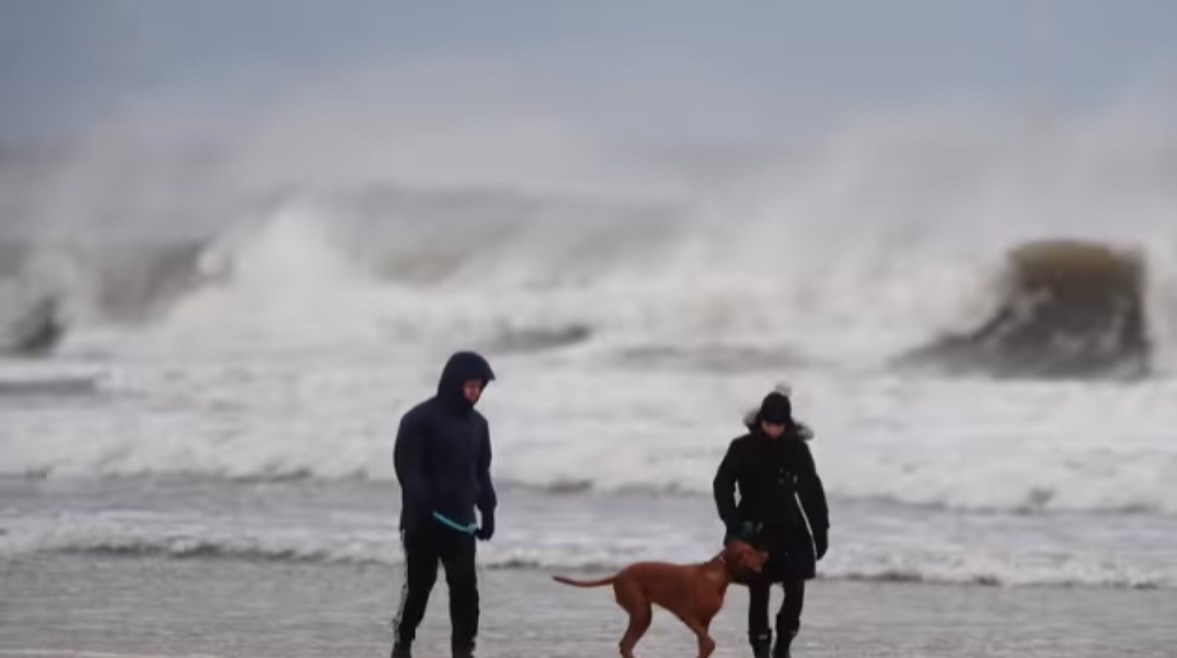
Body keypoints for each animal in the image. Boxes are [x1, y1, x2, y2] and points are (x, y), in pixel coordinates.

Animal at [553, 541, 767, 658]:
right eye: (750, 552)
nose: (767, 554)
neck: (718, 574)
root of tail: (619, 575)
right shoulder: (688, 616)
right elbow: (710, 643)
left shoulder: (704, 622)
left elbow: (705, 645)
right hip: (642, 613)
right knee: (626, 645)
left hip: (641, 614)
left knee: (625, 645)